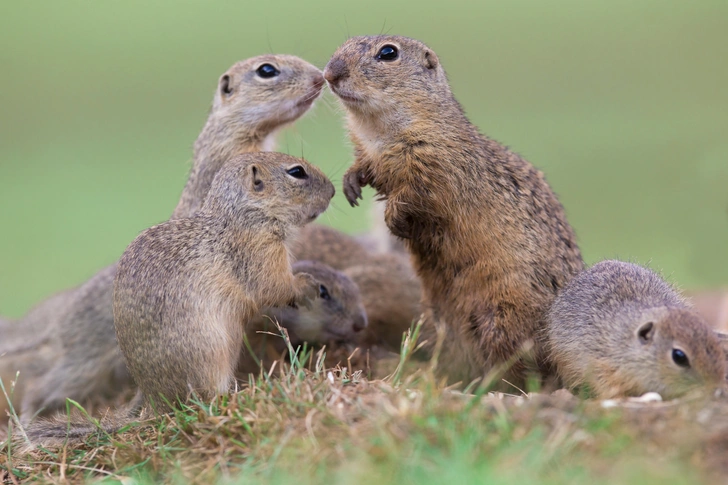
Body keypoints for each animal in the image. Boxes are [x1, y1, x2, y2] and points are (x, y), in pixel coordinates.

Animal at [22, 151, 336, 446]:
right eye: (297, 172)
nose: (333, 191)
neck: (243, 215)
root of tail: (154, 404)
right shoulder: (260, 253)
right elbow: (275, 286)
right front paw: (306, 284)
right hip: (210, 353)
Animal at [324, 35, 584, 386]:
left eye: (388, 53)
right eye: (345, 43)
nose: (329, 73)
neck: (379, 131)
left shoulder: (434, 161)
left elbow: (416, 194)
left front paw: (394, 219)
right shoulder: (370, 153)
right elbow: (366, 169)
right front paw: (351, 184)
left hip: (503, 312)